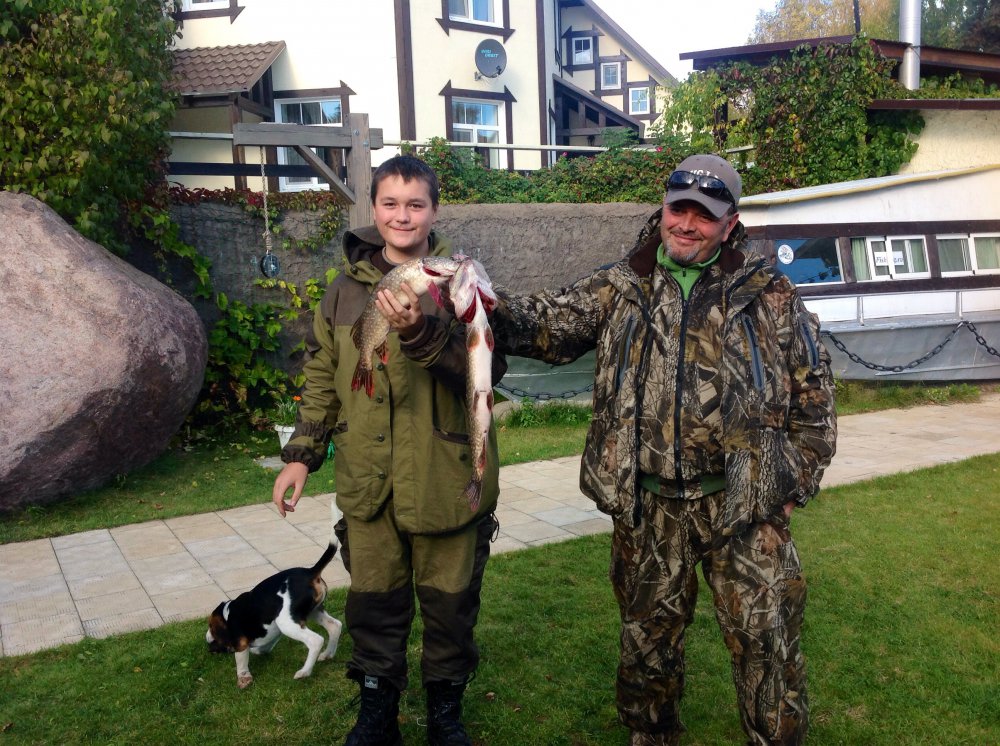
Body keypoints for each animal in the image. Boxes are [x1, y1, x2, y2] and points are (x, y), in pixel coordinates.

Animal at [205, 503, 343, 689]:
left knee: (316, 640)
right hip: (314, 611)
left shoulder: (241, 643)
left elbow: (241, 661)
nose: (207, 640)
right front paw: (257, 652)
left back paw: (304, 672)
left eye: (211, 627)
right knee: (335, 626)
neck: (227, 613)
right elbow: (262, 647)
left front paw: (243, 678)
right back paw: (327, 654)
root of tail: (311, 571)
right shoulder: (271, 633)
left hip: (287, 622)